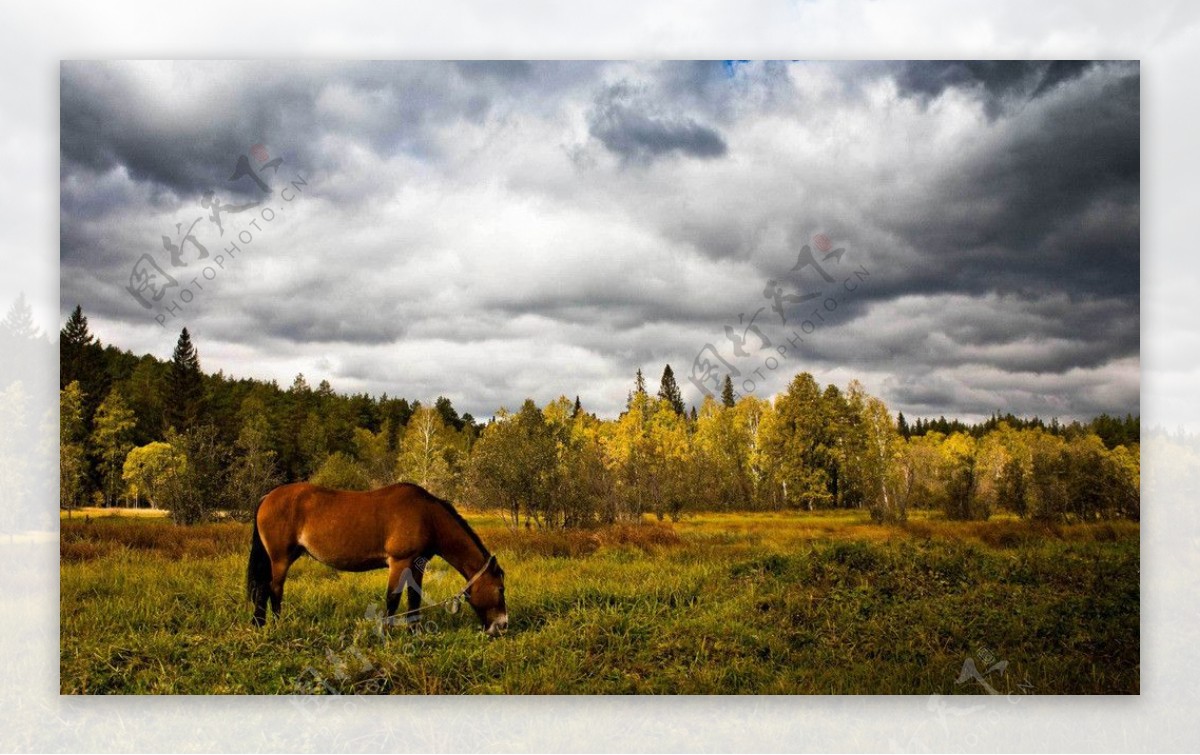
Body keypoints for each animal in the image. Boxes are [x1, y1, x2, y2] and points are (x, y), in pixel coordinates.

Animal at [243, 480, 506, 633]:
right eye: (501, 589)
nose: (502, 626)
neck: (427, 517)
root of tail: (267, 497)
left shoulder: (417, 565)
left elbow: (414, 598)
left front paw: (414, 632)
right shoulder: (399, 563)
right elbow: (393, 598)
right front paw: (387, 633)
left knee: (265, 588)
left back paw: (260, 623)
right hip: (280, 558)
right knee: (273, 588)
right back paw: (276, 624)